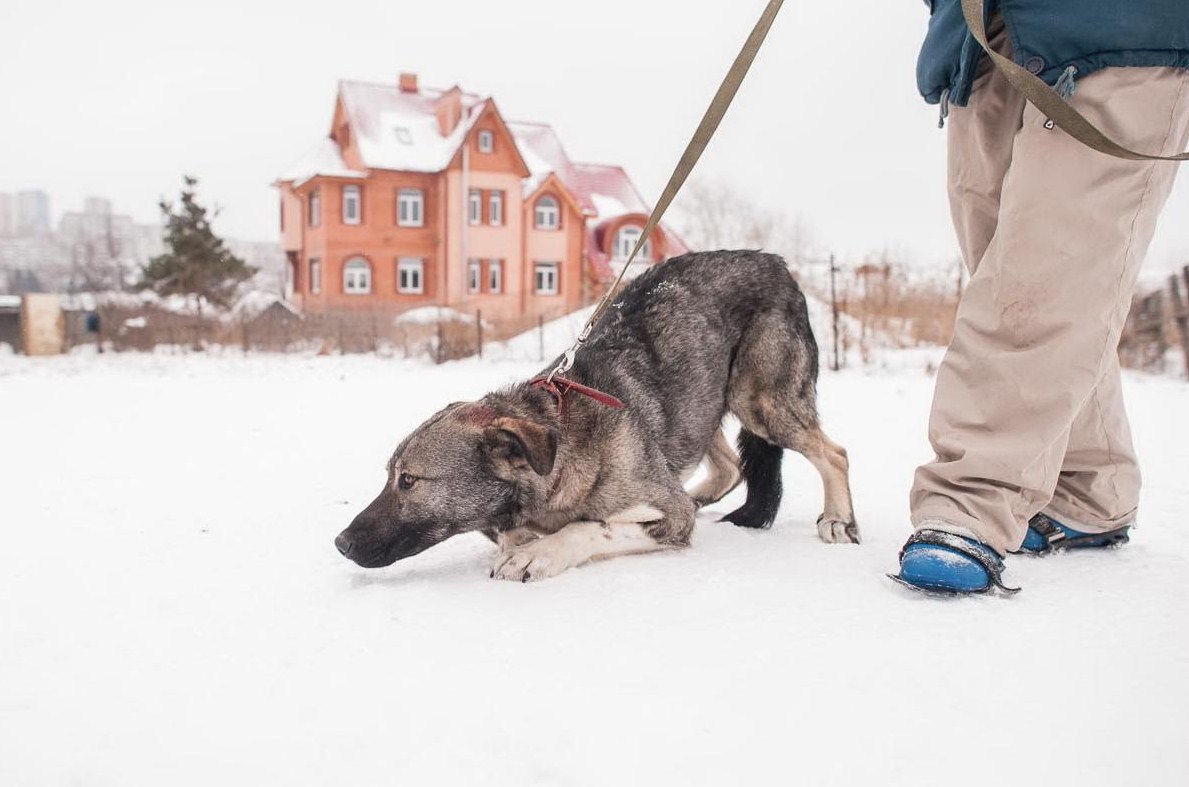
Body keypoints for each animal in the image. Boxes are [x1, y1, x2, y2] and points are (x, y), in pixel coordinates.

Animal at [332, 249, 856, 582]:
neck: (559, 461)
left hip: (759, 399)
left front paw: (540, 552)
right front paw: (521, 542)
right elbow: (512, 534)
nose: (340, 542)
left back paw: (837, 519)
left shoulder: (669, 517)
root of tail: (775, 262)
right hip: (695, 399)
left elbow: (591, 526)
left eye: (409, 481)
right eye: (391, 476)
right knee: (727, 466)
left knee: (833, 453)